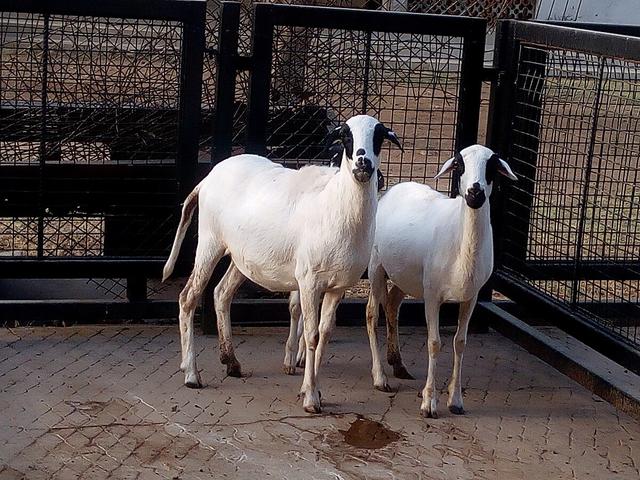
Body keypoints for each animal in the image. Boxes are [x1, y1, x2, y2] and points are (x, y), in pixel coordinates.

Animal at [162, 114, 402, 413]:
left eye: (379, 136)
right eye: (347, 136)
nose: (363, 163)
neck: (334, 205)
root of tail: (207, 178)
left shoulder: (337, 286)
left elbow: (324, 333)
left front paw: (312, 390)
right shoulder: (309, 281)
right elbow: (311, 335)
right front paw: (311, 398)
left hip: (243, 257)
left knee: (221, 293)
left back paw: (231, 362)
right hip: (209, 241)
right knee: (189, 298)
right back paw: (192, 374)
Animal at [365, 144, 517, 417]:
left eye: (491, 166)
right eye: (458, 164)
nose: (475, 193)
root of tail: (395, 188)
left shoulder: (471, 297)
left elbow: (460, 342)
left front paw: (455, 401)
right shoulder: (432, 295)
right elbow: (434, 343)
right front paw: (429, 403)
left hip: (406, 276)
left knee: (392, 305)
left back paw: (398, 364)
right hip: (376, 267)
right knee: (372, 314)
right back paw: (381, 378)